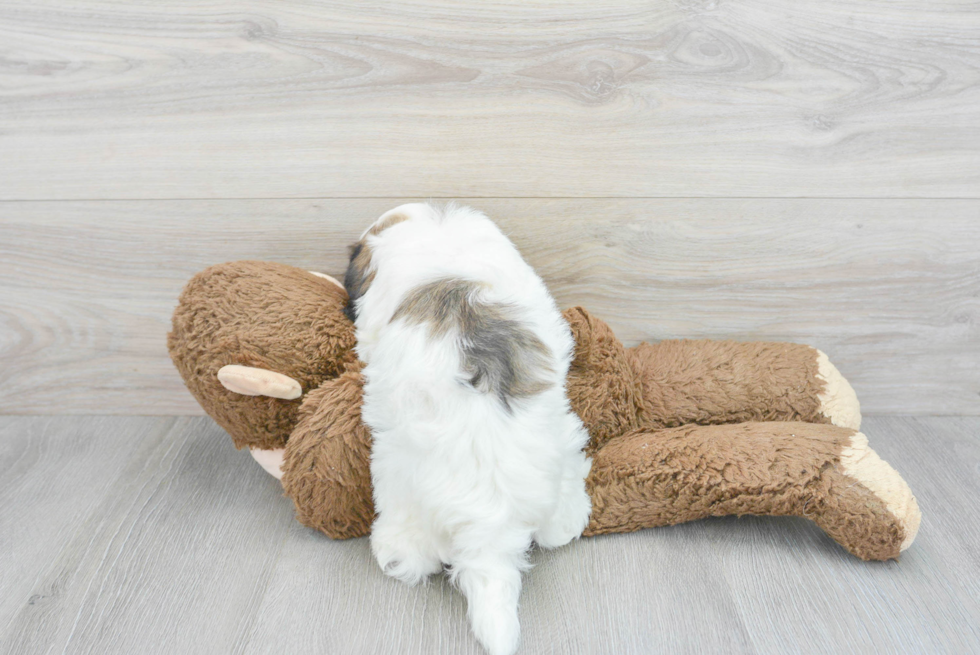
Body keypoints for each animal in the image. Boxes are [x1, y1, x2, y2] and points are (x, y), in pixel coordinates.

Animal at [344, 202, 588, 652]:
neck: (434, 236)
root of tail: (491, 528)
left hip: (396, 478)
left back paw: (395, 554)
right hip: (563, 438)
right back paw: (567, 521)